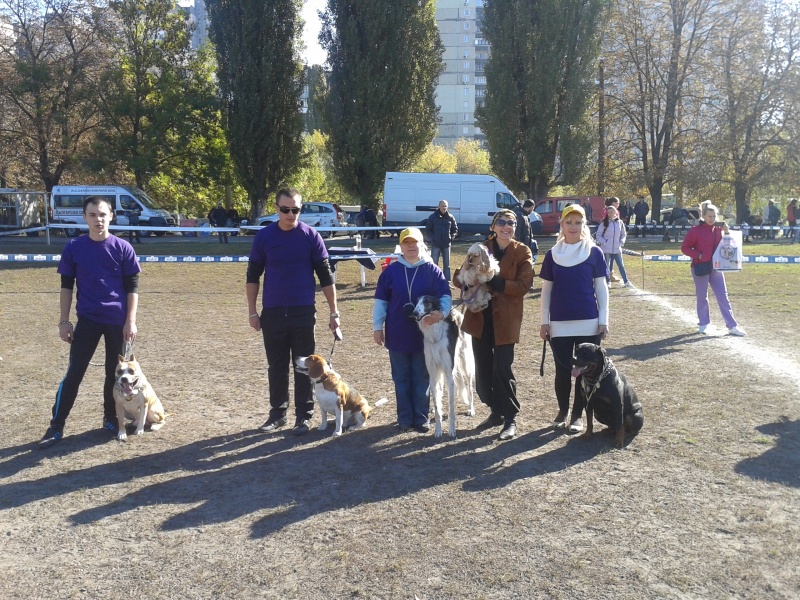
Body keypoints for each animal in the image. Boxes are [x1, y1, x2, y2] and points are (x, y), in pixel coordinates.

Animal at [412, 295, 476, 438]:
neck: (434, 336)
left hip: (466, 364)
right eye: (417, 302)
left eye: (427, 302)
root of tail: (459, 313)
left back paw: (471, 409)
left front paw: (452, 430)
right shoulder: (433, 374)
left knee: (469, 387)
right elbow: (437, 406)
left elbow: (451, 407)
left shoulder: (448, 373)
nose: (414, 313)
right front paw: (438, 430)